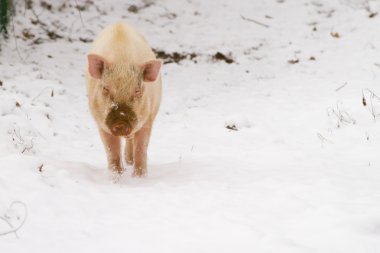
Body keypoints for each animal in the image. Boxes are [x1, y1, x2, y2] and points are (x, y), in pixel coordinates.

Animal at [86, 23, 162, 178]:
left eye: (137, 90)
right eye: (106, 88)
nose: (120, 122)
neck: (122, 60)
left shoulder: (148, 119)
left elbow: (141, 148)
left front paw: (139, 177)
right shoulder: (101, 124)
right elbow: (112, 150)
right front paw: (116, 176)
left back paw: (130, 161)